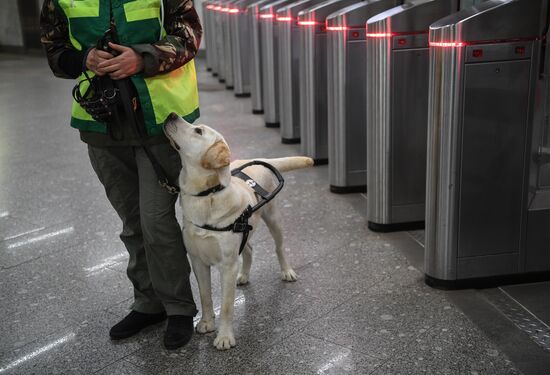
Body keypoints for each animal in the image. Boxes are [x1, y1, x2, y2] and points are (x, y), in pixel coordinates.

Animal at [164, 114, 314, 350]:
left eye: (198, 131)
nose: (171, 115)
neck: (207, 195)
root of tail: (258, 158)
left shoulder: (227, 265)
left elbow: (226, 306)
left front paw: (225, 337)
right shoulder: (197, 260)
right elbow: (205, 295)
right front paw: (207, 323)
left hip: (273, 218)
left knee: (279, 247)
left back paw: (287, 271)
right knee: (249, 249)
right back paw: (243, 275)